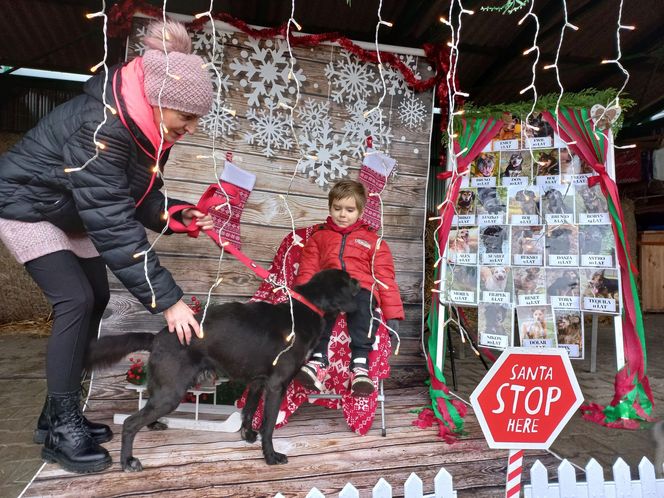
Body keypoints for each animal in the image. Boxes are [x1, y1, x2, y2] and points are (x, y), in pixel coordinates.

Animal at [87, 270, 360, 468]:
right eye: (350, 282)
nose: (363, 283)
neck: (306, 307)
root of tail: (158, 337)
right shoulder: (276, 385)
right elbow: (269, 425)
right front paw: (270, 456)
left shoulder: (258, 382)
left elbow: (248, 411)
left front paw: (247, 436)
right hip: (171, 394)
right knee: (130, 423)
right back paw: (127, 461)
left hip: (163, 389)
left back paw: (154, 425)